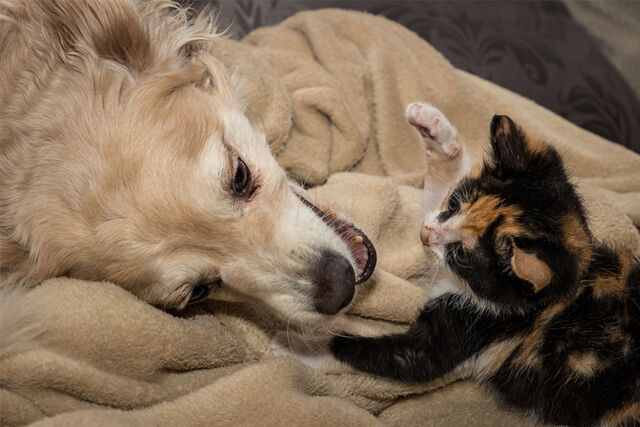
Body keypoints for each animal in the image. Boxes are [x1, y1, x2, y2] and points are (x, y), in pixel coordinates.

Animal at [330, 103, 640, 427]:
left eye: (462, 255)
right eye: (454, 203)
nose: (425, 236)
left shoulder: (476, 326)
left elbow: (409, 359)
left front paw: (317, 344)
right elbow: (432, 202)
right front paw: (436, 131)